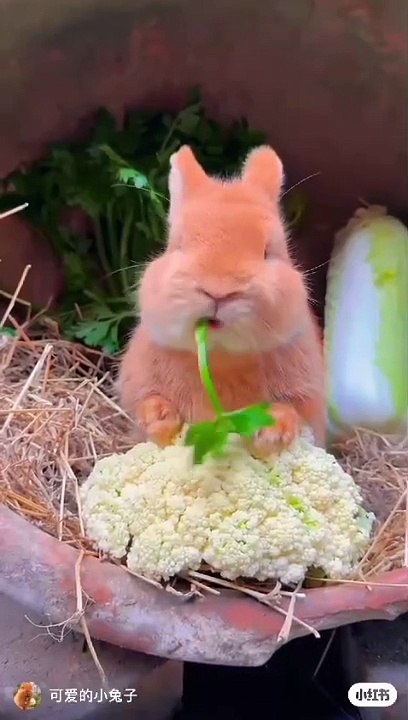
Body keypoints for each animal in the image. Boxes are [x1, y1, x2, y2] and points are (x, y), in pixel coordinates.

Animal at [117, 144, 326, 456]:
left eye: (268, 251)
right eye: (179, 245)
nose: (219, 291)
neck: (220, 358)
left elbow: (295, 414)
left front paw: (272, 430)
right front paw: (159, 415)